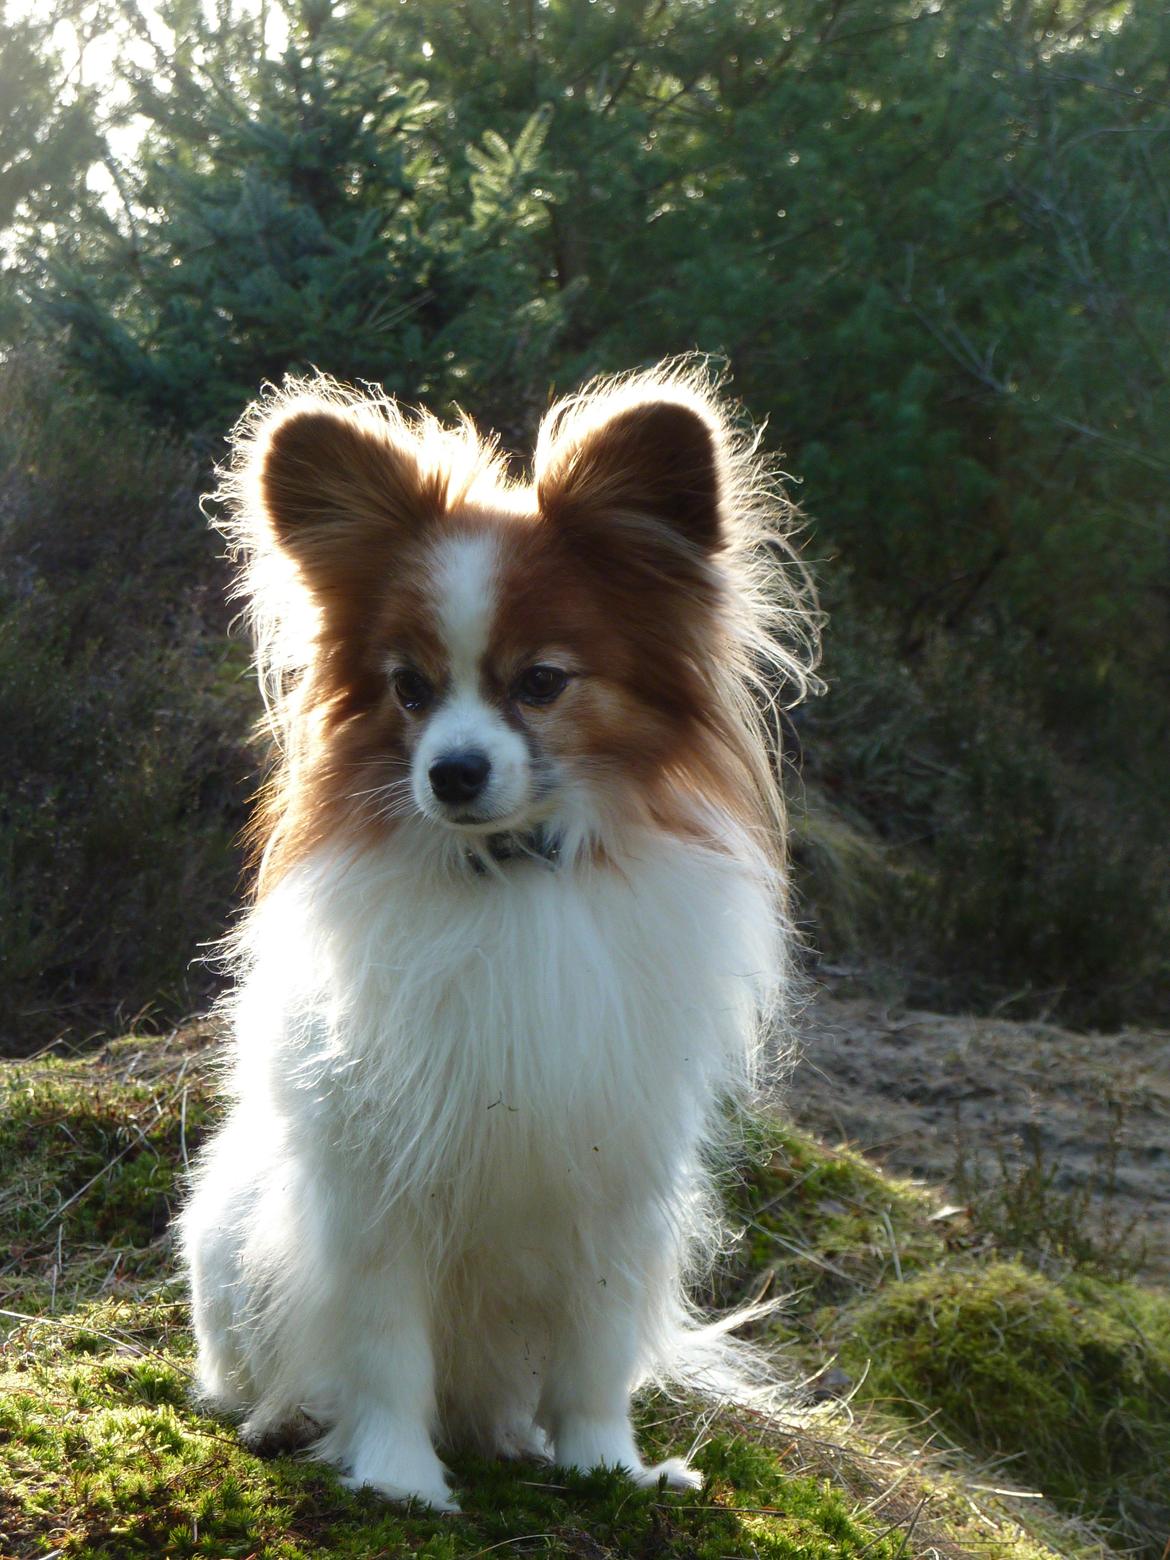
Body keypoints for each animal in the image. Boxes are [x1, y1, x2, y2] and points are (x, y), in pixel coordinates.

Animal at [180, 358, 817, 1503]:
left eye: (541, 683)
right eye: (410, 687)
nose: (453, 772)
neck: (511, 876)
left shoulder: (612, 1173)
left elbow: (595, 1353)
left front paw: (608, 1466)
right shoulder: (377, 1173)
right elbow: (383, 1343)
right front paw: (395, 1477)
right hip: (226, 1229)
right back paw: (287, 1416)